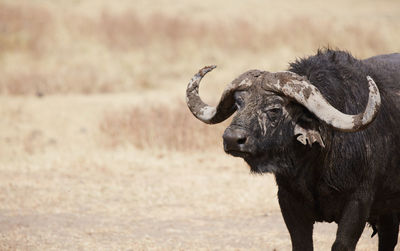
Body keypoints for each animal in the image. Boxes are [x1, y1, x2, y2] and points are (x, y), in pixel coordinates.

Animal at [186, 49, 400, 251]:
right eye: (238, 104)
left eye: (274, 109)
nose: (232, 139)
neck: (318, 163)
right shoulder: (288, 199)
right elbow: (301, 243)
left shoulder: (358, 202)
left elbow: (342, 244)